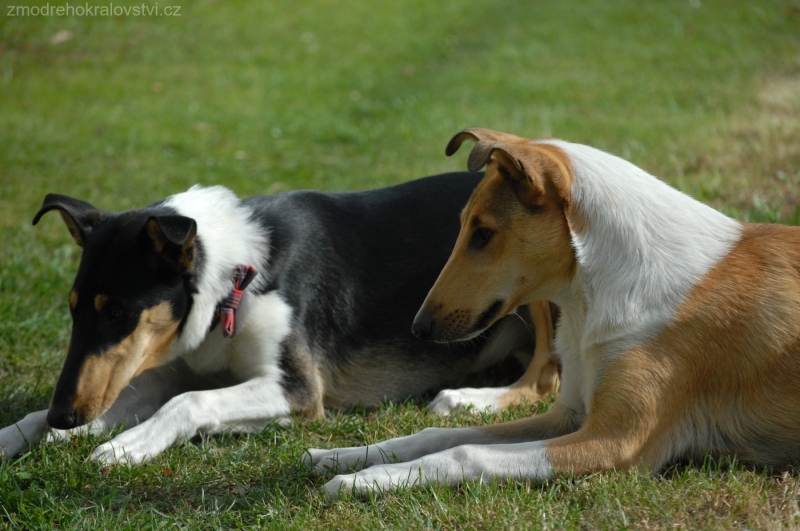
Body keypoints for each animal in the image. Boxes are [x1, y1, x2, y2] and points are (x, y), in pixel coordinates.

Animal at [0, 175, 552, 466]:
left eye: (117, 312)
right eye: (73, 308)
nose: (64, 416)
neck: (231, 283)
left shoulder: (298, 389)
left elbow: (190, 400)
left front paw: (128, 444)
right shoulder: (154, 369)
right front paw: (18, 433)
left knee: (545, 378)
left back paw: (470, 399)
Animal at [304, 127, 800, 496]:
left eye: (483, 233)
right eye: (463, 226)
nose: (418, 328)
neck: (593, 296)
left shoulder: (617, 442)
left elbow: (467, 452)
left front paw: (363, 480)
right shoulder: (570, 415)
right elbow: (438, 436)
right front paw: (342, 455)